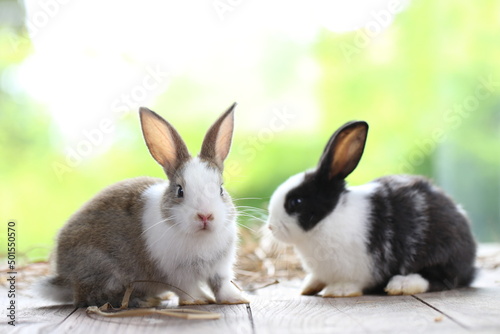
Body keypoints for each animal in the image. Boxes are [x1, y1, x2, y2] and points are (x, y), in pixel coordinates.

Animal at [38, 104, 249, 308]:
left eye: (221, 189)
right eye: (180, 191)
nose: (205, 216)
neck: (201, 237)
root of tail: (64, 278)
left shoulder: (220, 269)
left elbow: (222, 285)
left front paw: (238, 298)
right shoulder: (177, 274)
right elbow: (188, 289)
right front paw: (200, 300)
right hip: (104, 271)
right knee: (93, 298)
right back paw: (145, 301)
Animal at [266, 120, 476, 298]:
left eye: (296, 202)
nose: (270, 227)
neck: (329, 218)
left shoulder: (361, 269)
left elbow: (353, 283)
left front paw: (338, 290)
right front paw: (309, 286)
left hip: (442, 252)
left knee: (441, 279)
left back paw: (400, 284)